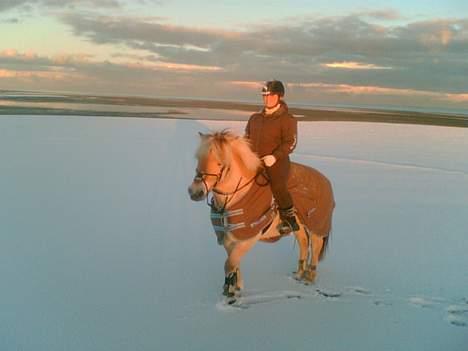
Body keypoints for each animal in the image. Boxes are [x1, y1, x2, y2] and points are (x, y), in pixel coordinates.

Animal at [188, 131, 334, 298]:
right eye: (198, 158)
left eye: (220, 162)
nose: (195, 191)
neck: (236, 196)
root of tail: (325, 180)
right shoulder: (229, 238)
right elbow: (234, 263)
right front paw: (236, 286)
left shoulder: (249, 238)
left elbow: (229, 264)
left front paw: (230, 292)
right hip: (298, 226)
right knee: (303, 243)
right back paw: (299, 274)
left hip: (316, 226)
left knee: (315, 248)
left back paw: (309, 278)